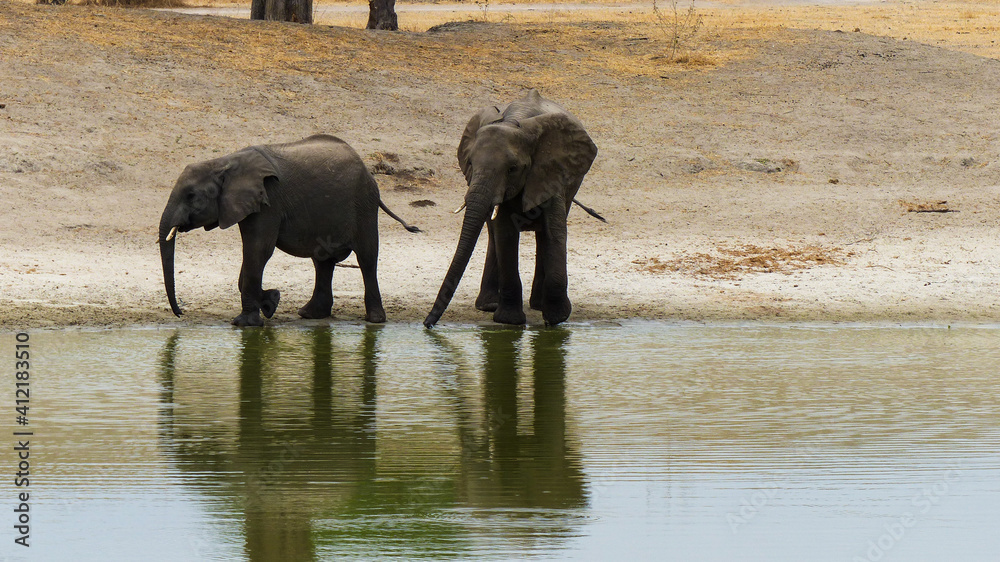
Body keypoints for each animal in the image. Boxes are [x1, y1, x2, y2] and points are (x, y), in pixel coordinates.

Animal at [158, 134, 419, 327]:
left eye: (191, 196)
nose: (180, 313)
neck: (223, 163)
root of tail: (367, 170)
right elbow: (253, 253)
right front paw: (271, 302)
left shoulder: (269, 201)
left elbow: (258, 251)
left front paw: (246, 322)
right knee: (322, 262)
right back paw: (309, 314)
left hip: (364, 204)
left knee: (366, 258)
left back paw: (374, 320)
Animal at [423, 89, 598, 327]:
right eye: (470, 163)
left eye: (512, 169)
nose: (427, 324)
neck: (516, 122)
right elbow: (505, 233)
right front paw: (510, 321)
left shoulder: (551, 171)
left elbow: (555, 232)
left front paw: (556, 319)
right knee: (493, 234)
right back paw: (489, 305)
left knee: (543, 236)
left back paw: (537, 305)